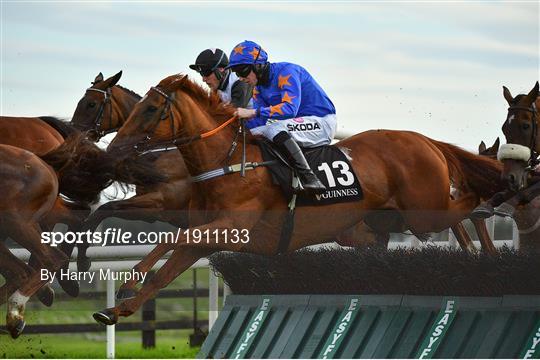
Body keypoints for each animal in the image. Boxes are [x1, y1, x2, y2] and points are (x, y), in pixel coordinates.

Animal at [92, 74, 502, 324]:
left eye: (150, 109)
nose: (113, 150)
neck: (228, 162)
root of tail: (425, 139)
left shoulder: (231, 227)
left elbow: (170, 238)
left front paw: (129, 281)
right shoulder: (205, 234)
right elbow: (168, 268)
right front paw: (117, 308)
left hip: (425, 212)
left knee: (469, 200)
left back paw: (492, 213)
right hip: (377, 225)